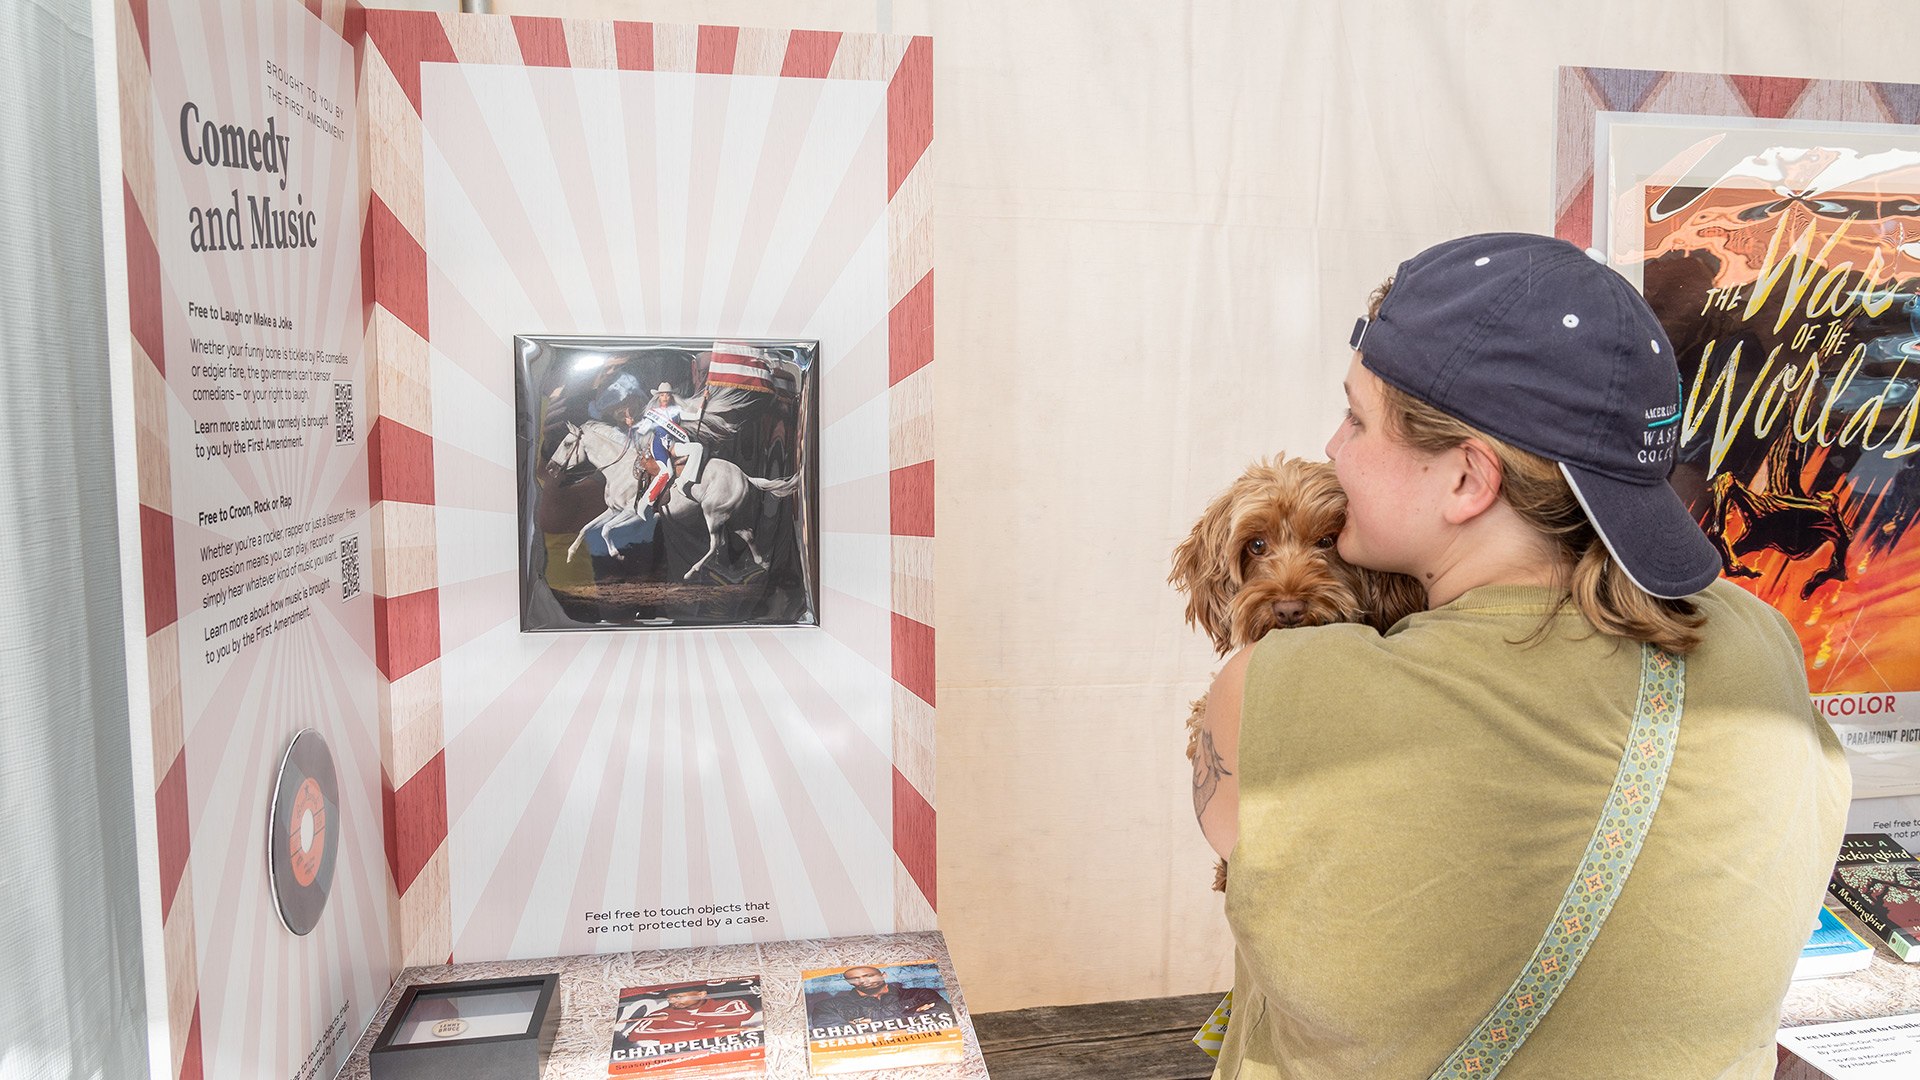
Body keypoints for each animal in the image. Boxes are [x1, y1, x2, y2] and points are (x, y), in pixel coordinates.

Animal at [549, 418, 802, 580]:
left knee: (716, 543)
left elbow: (605, 530)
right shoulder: (613, 510)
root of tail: (743, 474)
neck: (621, 469)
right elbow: (587, 527)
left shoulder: (634, 514)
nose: (551, 468)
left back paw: (691, 571)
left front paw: (615, 553)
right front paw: (571, 554)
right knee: (747, 534)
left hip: (713, 514)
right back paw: (762, 563)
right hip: (731, 516)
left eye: (568, 444)